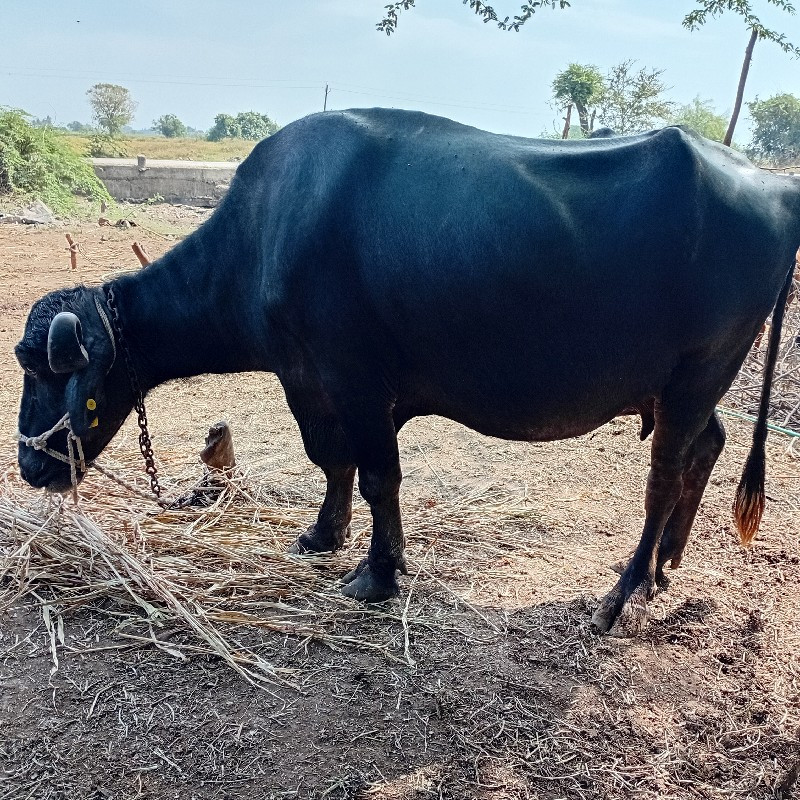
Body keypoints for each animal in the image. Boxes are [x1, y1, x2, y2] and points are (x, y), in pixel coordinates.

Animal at [14, 111, 800, 636]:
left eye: (52, 375)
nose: (30, 467)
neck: (267, 232)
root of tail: (776, 190)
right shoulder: (311, 384)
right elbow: (333, 463)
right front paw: (322, 536)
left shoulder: (351, 380)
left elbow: (375, 474)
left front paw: (378, 572)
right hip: (686, 383)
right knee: (706, 447)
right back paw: (666, 565)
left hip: (700, 370)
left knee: (664, 476)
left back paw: (621, 593)